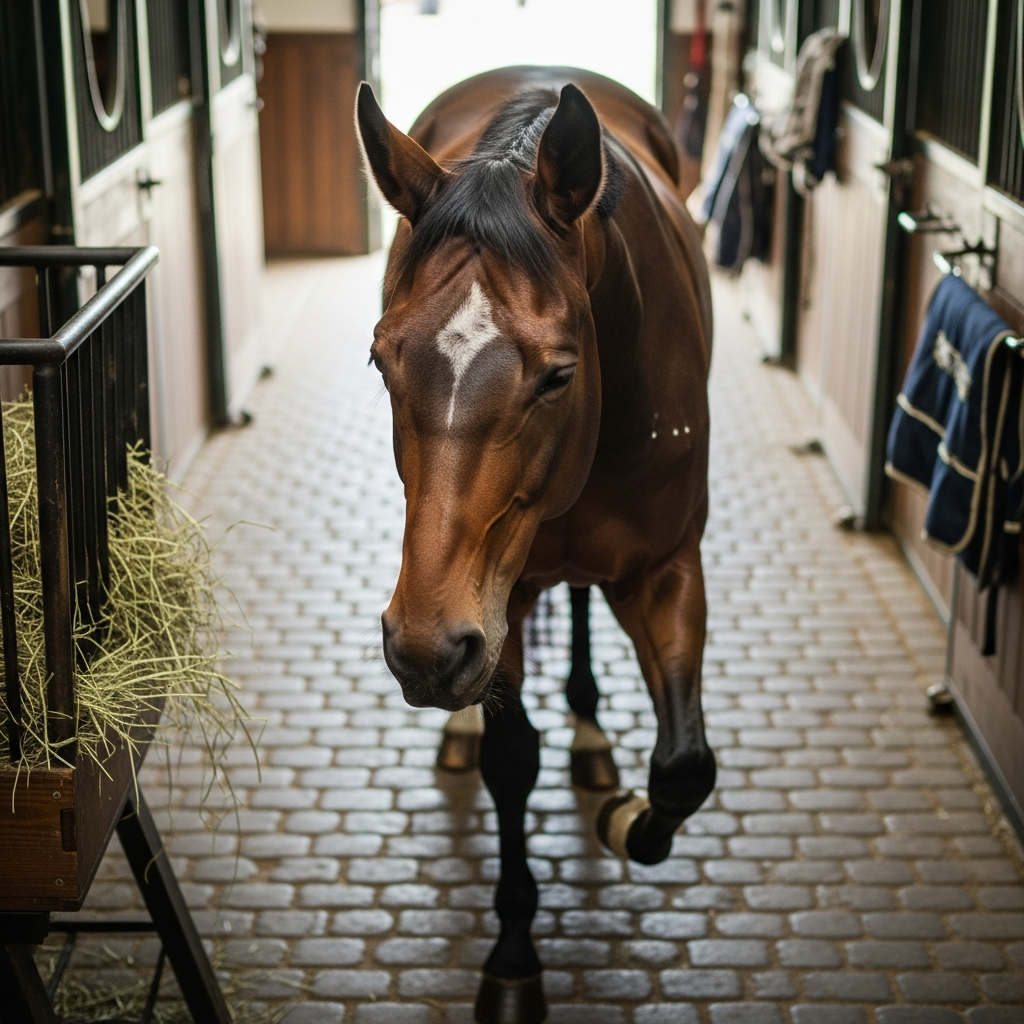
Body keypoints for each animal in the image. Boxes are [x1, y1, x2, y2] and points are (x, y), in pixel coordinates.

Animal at [356, 66, 715, 1024]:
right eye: (380, 360)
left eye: (558, 375)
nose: (423, 647)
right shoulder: (495, 600)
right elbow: (512, 762)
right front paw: (515, 956)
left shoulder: (669, 569)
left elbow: (684, 768)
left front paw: (626, 815)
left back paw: (591, 734)